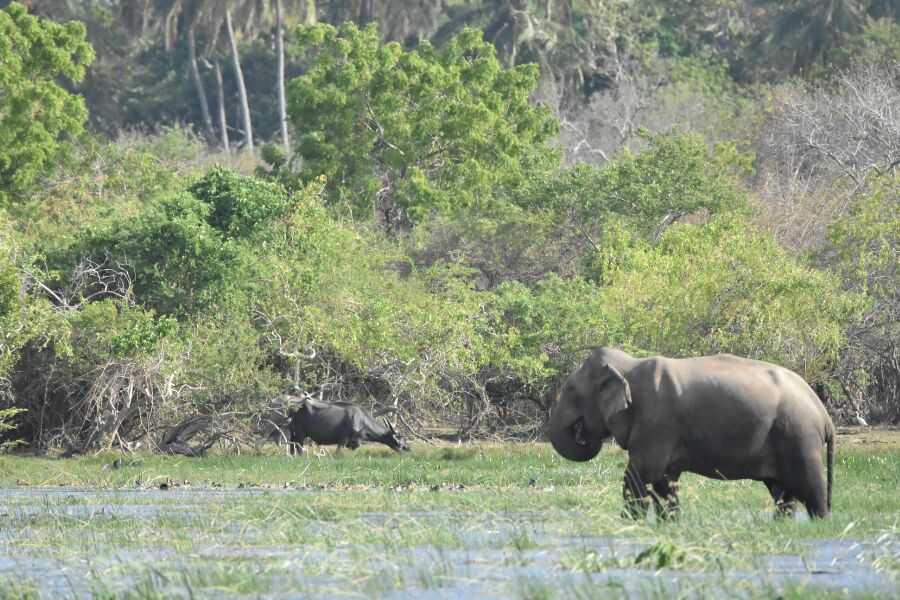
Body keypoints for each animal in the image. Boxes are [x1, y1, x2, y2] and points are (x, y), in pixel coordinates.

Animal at [548, 347, 835, 519]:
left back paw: (821, 523)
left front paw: (630, 524)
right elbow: (664, 482)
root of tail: (825, 415)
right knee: (783, 493)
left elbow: (639, 475)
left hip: (800, 436)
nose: (581, 433)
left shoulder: (657, 423)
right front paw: (669, 524)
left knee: (811, 488)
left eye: (570, 389)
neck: (629, 365)